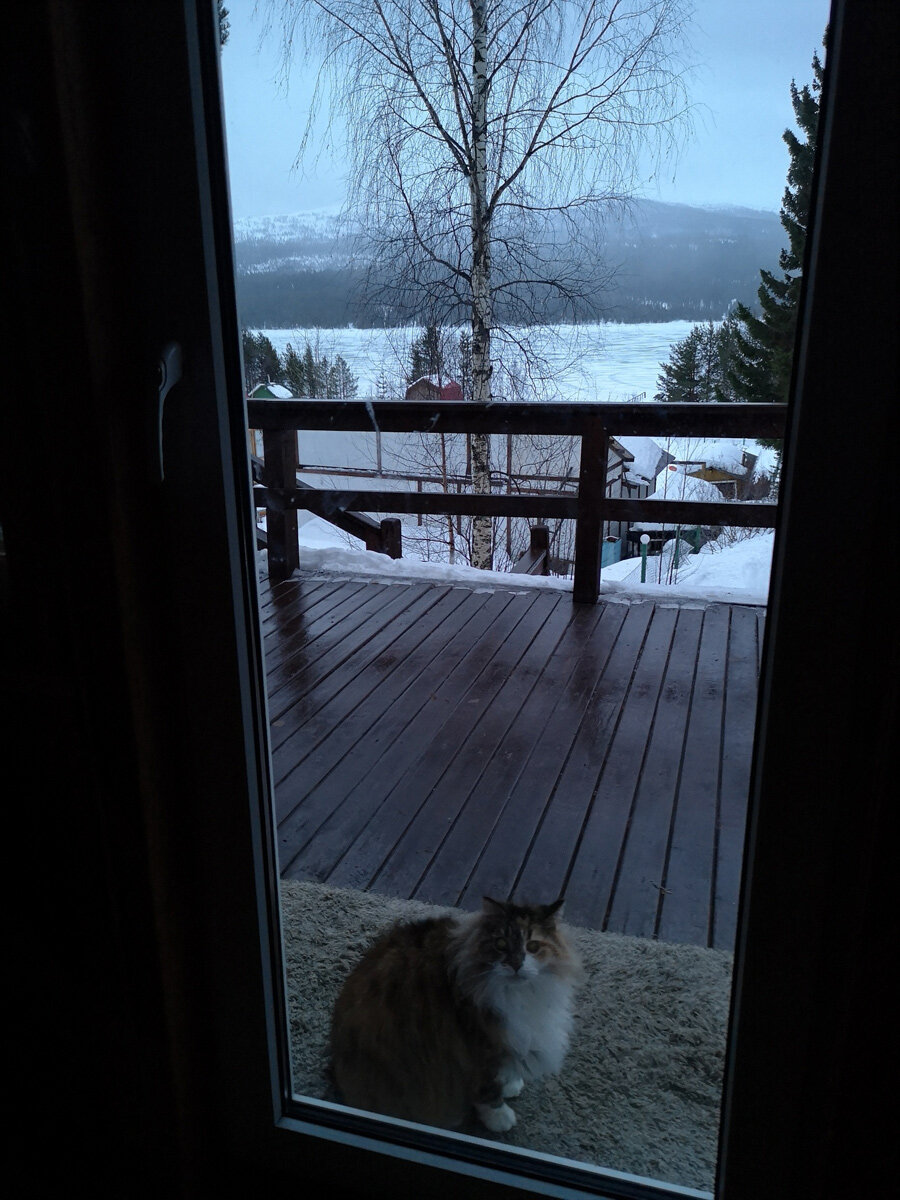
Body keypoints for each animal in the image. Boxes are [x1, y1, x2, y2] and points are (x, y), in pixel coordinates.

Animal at [331, 892, 585, 1132]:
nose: (515, 964)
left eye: (532, 947)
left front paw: (511, 1084)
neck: (521, 995)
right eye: (501, 944)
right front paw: (500, 1118)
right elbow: (487, 1092)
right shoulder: (477, 1049)